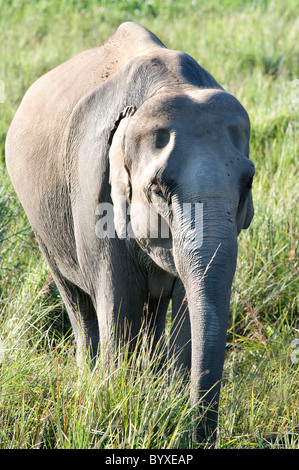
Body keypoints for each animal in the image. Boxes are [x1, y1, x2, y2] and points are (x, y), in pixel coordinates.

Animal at [5, 21, 255, 440]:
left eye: (248, 181)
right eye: (159, 189)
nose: (200, 435)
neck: (170, 84)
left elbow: (189, 307)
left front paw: (169, 409)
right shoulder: (92, 192)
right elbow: (119, 305)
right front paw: (115, 406)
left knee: (153, 312)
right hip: (39, 222)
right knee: (78, 303)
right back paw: (89, 378)